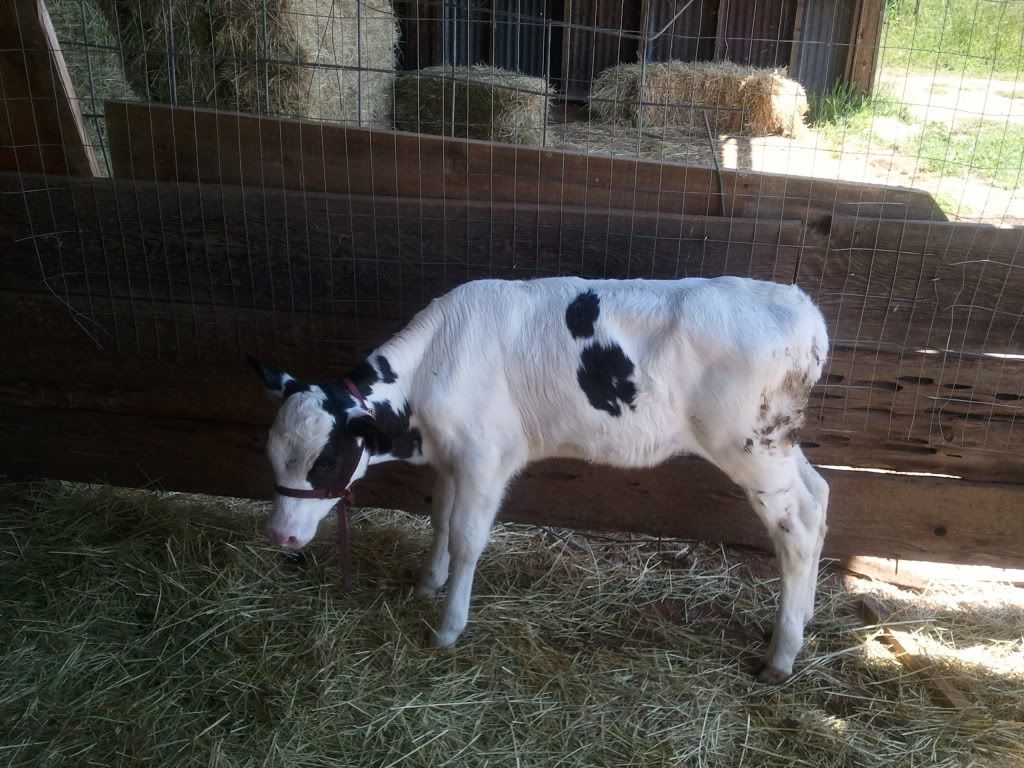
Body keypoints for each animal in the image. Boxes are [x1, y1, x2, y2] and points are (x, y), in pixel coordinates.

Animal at [249, 276, 830, 682]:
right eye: (272, 455)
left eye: (325, 461)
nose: (280, 535)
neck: (434, 363)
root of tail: (802, 308)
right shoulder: (453, 458)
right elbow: (439, 519)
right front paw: (427, 583)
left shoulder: (486, 457)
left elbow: (466, 539)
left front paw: (448, 626)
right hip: (780, 444)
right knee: (819, 496)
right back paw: (800, 623)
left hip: (750, 448)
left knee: (798, 527)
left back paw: (781, 656)